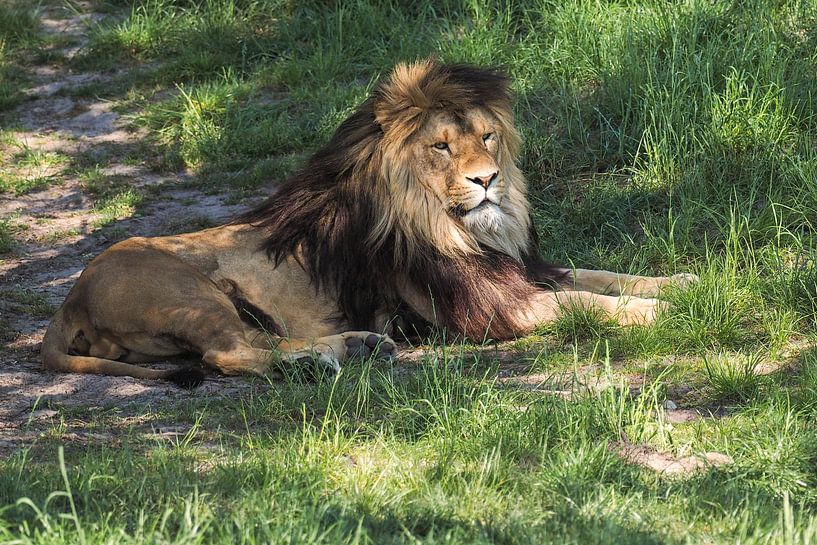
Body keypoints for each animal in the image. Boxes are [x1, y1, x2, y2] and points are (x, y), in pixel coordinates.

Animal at [41, 59, 692, 384]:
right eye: (442, 147)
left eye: (487, 137)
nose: (488, 180)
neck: (460, 226)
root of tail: (70, 299)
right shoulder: (494, 307)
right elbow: (589, 303)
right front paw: (664, 315)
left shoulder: (524, 268)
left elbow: (602, 276)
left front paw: (684, 284)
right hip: (190, 292)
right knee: (228, 355)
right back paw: (321, 363)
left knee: (255, 342)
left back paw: (356, 346)